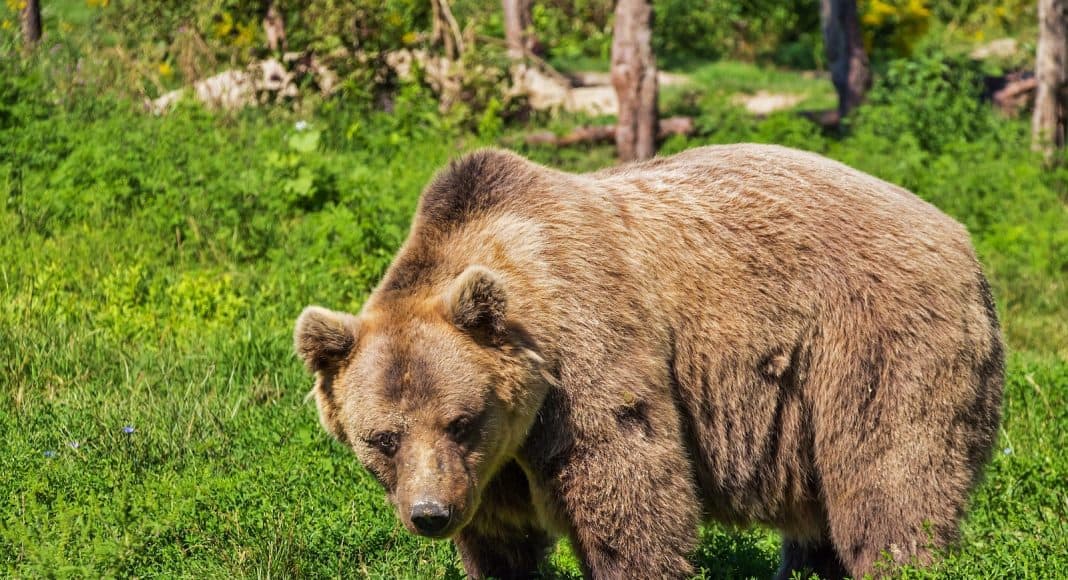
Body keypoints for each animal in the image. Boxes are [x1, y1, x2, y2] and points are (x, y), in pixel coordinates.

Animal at [294, 144, 1004, 579]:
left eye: (460, 421)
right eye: (382, 438)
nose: (430, 514)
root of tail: (961, 237)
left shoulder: (585, 356)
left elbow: (630, 491)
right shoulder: (491, 471)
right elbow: (501, 542)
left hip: (874, 342)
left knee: (889, 483)